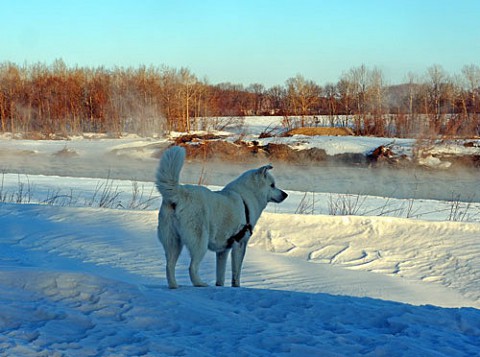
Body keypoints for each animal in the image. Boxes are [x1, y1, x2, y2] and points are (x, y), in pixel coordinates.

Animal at [156, 146, 286, 288]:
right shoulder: (240, 243)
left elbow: (221, 275)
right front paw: (236, 287)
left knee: (169, 266)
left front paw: (219, 286)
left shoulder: (223, 251)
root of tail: (179, 194)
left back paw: (174, 286)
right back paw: (200, 284)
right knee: (192, 267)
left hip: (173, 242)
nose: (285, 194)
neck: (247, 197)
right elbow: (236, 275)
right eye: (272, 185)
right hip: (199, 242)